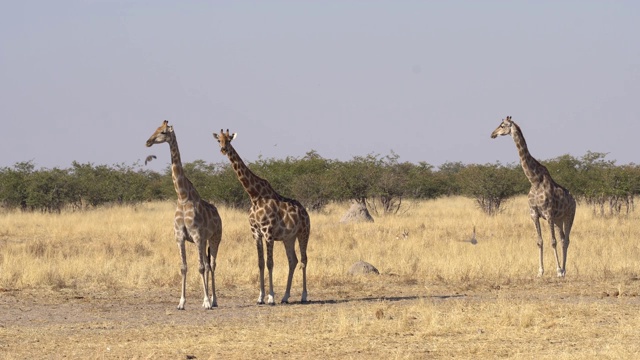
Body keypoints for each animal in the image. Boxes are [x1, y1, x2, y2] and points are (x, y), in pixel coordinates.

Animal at [146, 119, 224, 308]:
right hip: (205, 241)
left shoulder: (197, 236)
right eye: (155, 129)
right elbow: (184, 267)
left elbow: (200, 267)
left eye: (164, 132)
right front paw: (181, 302)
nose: (148, 142)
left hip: (215, 238)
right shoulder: (180, 237)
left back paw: (214, 300)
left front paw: (206, 301)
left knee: (212, 264)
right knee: (207, 264)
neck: (182, 197)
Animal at [212, 129, 310, 304]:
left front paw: (270, 297)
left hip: (303, 233)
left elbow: (270, 263)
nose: (223, 149)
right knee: (293, 261)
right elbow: (260, 263)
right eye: (219, 140)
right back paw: (285, 296)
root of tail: (306, 212)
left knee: (304, 260)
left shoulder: (268, 232)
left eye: (229, 140)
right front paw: (260, 297)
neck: (254, 196)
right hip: (289, 238)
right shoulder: (256, 233)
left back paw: (304, 296)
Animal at [492, 115, 576, 276]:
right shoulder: (534, 214)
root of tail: (574, 200)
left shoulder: (548, 214)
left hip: (569, 216)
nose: (492, 134)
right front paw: (540, 271)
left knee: (566, 240)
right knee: (563, 238)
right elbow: (540, 241)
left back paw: (563, 270)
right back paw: (563, 269)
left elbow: (552, 241)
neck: (534, 180)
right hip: (559, 220)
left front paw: (557, 270)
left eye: (502, 125)